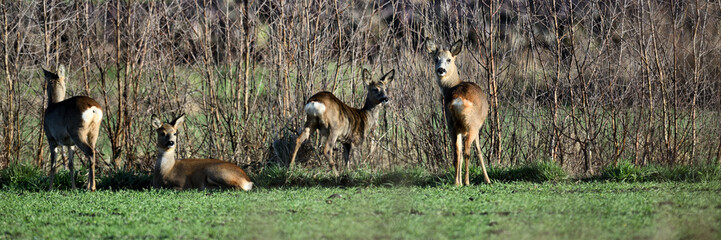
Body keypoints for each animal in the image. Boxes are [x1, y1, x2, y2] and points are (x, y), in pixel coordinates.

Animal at [424, 38, 492, 186]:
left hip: (451, 124)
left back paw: (457, 182)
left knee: (456, 152)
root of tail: (458, 101)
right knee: (466, 151)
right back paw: (466, 181)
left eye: (449, 59)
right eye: (436, 58)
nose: (441, 70)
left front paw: (459, 180)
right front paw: (487, 179)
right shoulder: (477, 127)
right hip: (472, 125)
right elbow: (479, 150)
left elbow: (458, 152)